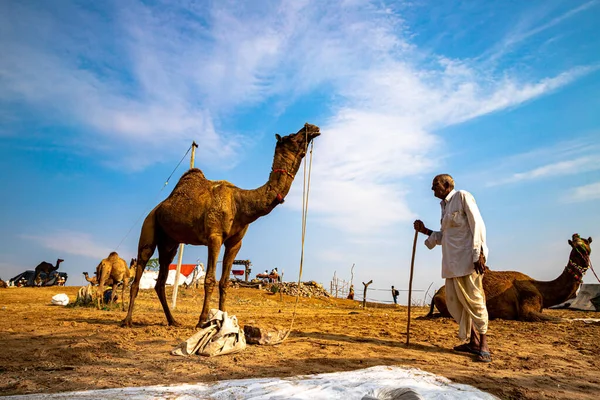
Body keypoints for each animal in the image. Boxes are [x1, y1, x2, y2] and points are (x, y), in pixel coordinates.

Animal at [119, 123, 322, 326]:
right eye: (292, 136)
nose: (312, 127)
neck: (240, 203)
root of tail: (156, 209)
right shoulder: (214, 236)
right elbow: (210, 279)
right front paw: (202, 320)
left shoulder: (235, 243)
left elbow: (224, 282)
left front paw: (224, 319)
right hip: (149, 225)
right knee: (140, 268)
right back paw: (127, 320)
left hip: (170, 243)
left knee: (161, 280)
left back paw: (172, 321)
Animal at [428, 234, 592, 322]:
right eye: (575, 249)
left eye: (587, 247)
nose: (582, 251)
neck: (541, 289)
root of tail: (436, 294)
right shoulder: (527, 307)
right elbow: (562, 319)